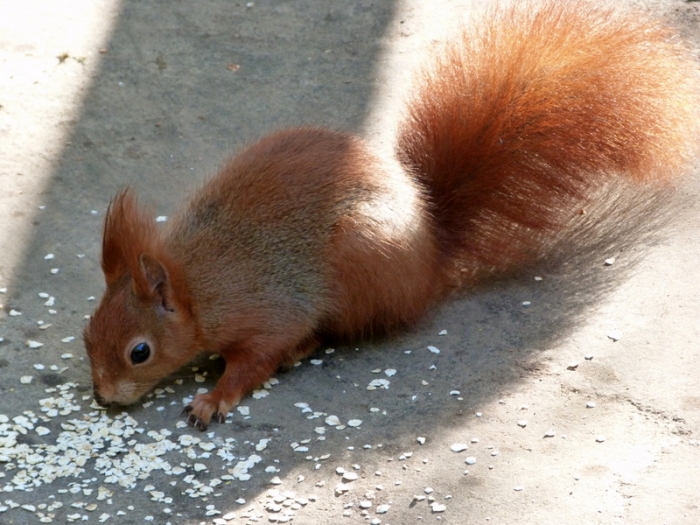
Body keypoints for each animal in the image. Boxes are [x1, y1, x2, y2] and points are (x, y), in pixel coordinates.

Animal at [84, 0, 700, 430]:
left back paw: (305, 349)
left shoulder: (267, 311)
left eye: (139, 352)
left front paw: (213, 400)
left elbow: (255, 360)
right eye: (88, 332)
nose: (102, 396)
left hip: (358, 262)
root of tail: (427, 260)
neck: (197, 284)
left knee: (350, 328)